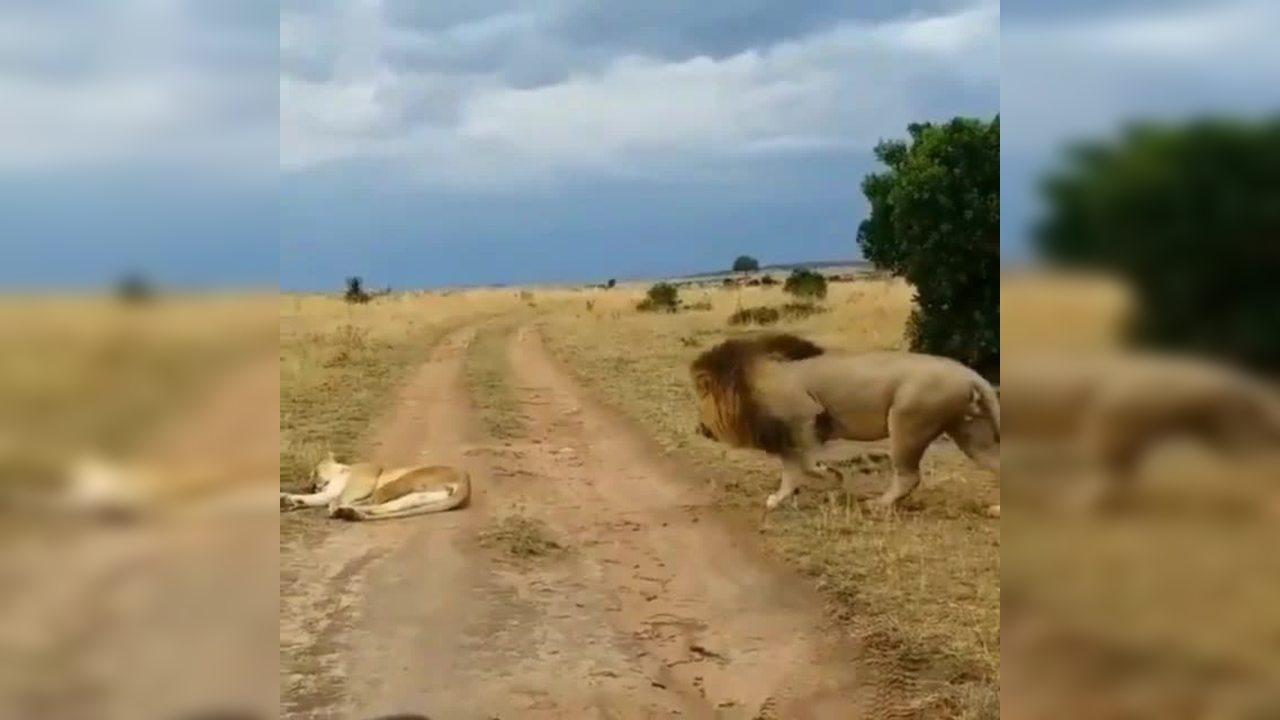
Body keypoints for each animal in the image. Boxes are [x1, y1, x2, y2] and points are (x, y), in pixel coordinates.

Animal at [280, 450, 471, 517]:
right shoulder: (328, 492)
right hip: (420, 497)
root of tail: (466, 482)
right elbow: (316, 498)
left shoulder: (363, 480)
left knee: (374, 501)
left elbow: (337, 498)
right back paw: (350, 512)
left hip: (405, 480)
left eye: (313, 472)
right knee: (387, 506)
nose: (308, 485)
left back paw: (344, 511)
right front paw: (288, 498)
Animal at [691, 333, 998, 512]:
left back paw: (877, 504)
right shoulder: (787, 435)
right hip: (969, 432)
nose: (699, 428)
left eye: (701, 400)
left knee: (908, 476)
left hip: (907, 421)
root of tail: (970, 374)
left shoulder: (803, 417)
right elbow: (790, 472)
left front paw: (833, 476)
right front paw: (778, 500)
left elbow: (805, 466)